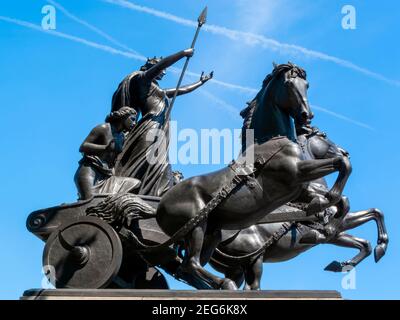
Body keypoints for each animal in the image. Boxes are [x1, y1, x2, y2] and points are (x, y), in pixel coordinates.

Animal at [155, 62, 350, 290]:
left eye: (307, 85)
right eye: (289, 84)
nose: (306, 115)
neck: (272, 140)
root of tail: (160, 205)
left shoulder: (299, 189)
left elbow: (341, 197)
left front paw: (324, 218)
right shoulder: (296, 173)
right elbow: (343, 166)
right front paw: (324, 213)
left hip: (212, 234)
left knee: (189, 266)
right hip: (195, 227)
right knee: (191, 264)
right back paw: (226, 284)